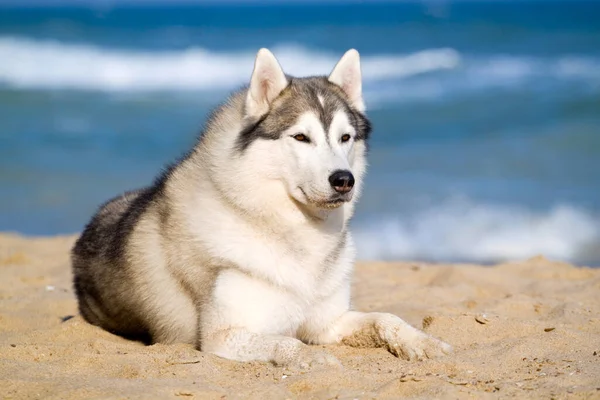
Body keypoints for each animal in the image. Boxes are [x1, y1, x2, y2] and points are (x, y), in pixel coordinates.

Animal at [71, 48, 450, 368]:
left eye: (346, 138)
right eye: (301, 137)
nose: (344, 180)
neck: (294, 234)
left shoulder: (328, 323)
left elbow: (388, 318)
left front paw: (424, 342)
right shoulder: (223, 337)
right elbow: (288, 342)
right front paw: (315, 360)